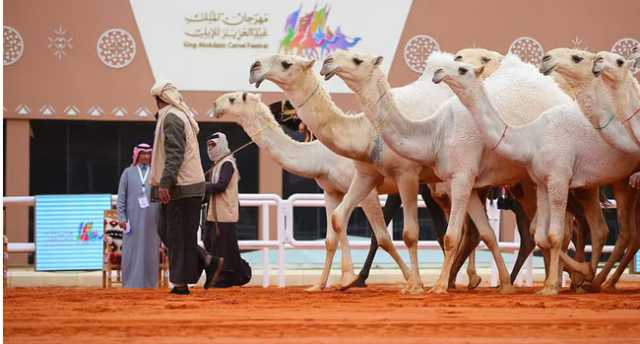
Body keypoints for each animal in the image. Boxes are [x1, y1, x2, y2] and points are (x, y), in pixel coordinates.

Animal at [250, 53, 484, 292]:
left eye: (286, 63)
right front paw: (347, 280)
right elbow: (343, 225)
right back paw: (465, 278)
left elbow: (393, 234)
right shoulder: (357, 183)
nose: (255, 67)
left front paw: (411, 283)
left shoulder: (403, 176)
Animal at [432, 52, 636, 294]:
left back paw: (591, 281)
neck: (531, 136)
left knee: (605, 230)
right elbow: (538, 235)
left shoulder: (558, 178)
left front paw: (554, 285)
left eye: (462, 69)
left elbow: (554, 234)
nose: (438, 72)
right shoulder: (539, 182)